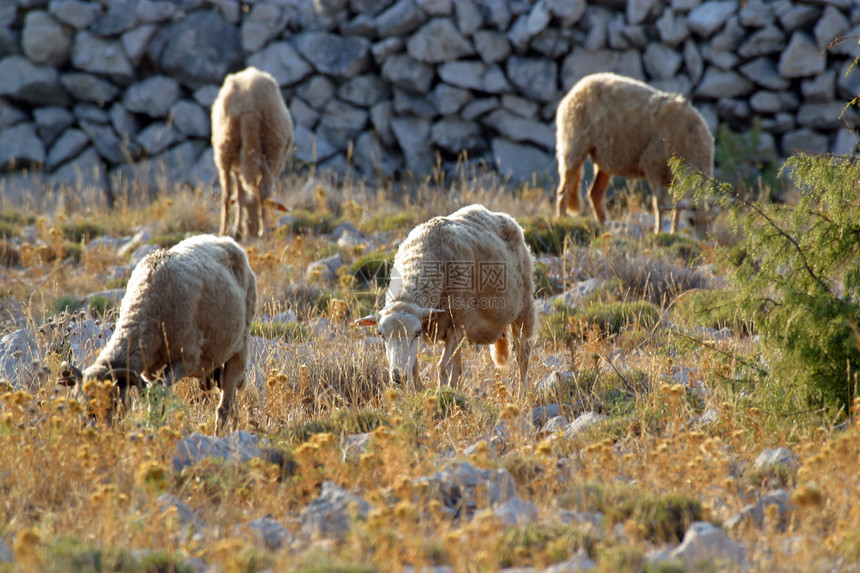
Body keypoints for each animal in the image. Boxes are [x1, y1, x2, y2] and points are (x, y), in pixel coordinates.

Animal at [57, 232, 256, 434]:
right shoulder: (149, 370)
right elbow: (156, 398)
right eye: (81, 404)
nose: (98, 432)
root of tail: (224, 240)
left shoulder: (185, 361)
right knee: (230, 399)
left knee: (225, 405)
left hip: (240, 348)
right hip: (214, 365)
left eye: (112, 403)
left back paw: (221, 434)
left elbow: (158, 394)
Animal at [212, 66, 296, 239]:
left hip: (226, 142)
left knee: (227, 193)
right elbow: (244, 195)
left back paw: (224, 232)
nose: (249, 229)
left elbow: (240, 196)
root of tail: (250, 102)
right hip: (272, 148)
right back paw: (262, 232)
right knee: (262, 190)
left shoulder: (238, 167)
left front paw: (238, 230)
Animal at [352, 203, 536, 392]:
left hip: (524, 309)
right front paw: (421, 390)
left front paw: (441, 393)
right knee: (459, 368)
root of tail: (502, 216)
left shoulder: (458, 325)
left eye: (417, 333)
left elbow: (441, 367)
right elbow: (416, 368)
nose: (398, 377)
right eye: (381, 334)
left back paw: (522, 392)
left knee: (523, 355)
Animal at [556, 72, 716, 233]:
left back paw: (605, 226)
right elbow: (659, 205)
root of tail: (580, 85)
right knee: (565, 190)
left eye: (711, 222)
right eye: (692, 221)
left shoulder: (675, 180)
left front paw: (674, 232)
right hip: (574, 144)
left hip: (606, 159)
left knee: (595, 194)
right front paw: (658, 231)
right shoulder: (651, 164)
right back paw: (562, 220)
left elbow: (675, 208)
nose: (704, 238)